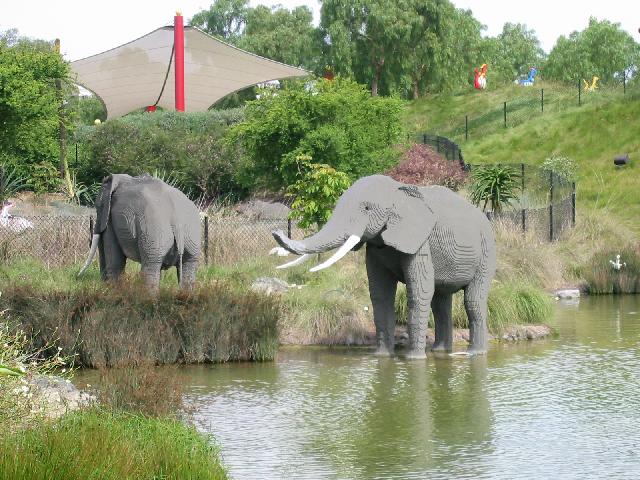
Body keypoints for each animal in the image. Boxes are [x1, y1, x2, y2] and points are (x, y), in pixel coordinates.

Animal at [272, 174, 498, 358]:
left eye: (366, 208)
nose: (276, 232)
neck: (398, 192)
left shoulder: (420, 241)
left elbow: (419, 292)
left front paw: (414, 360)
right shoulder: (375, 247)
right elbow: (380, 295)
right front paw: (381, 357)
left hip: (487, 251)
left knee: (473, 301)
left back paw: (475, 353)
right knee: (440, 302)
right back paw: (440, 352)